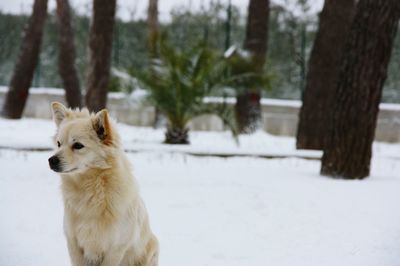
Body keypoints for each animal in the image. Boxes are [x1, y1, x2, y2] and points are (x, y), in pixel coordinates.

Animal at [48, 102, 158, 266]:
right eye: (59, 144)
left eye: (78, 145)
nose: (51, 160)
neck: (92, 190)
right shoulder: (74, 243)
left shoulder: (116, 248)